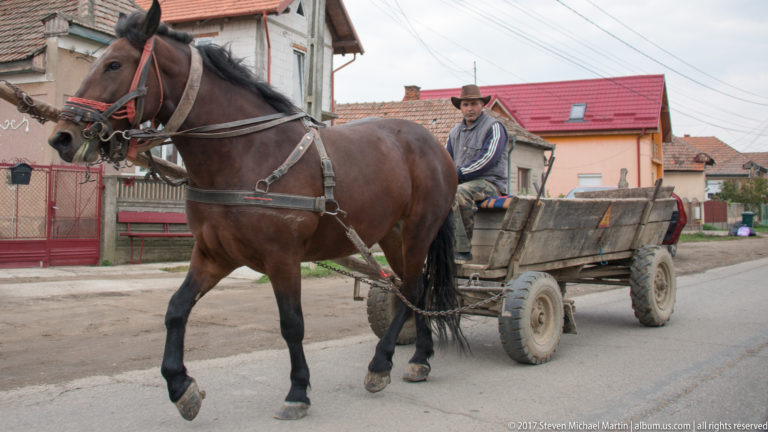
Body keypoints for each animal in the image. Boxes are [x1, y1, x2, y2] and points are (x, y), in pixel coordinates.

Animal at [48, 0, 463, 421]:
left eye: (114, 64)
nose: (62, 137)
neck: (244, 153)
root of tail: (436, 148)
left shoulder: (283, 258)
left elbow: (292, 324)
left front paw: (298, 391)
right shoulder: (214, 254)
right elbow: (176, 309)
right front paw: (181, 386)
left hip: (417, 232)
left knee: (411, 287)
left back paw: (381, 363)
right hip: (393, 237)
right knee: (416, 288)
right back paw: (420, 358)